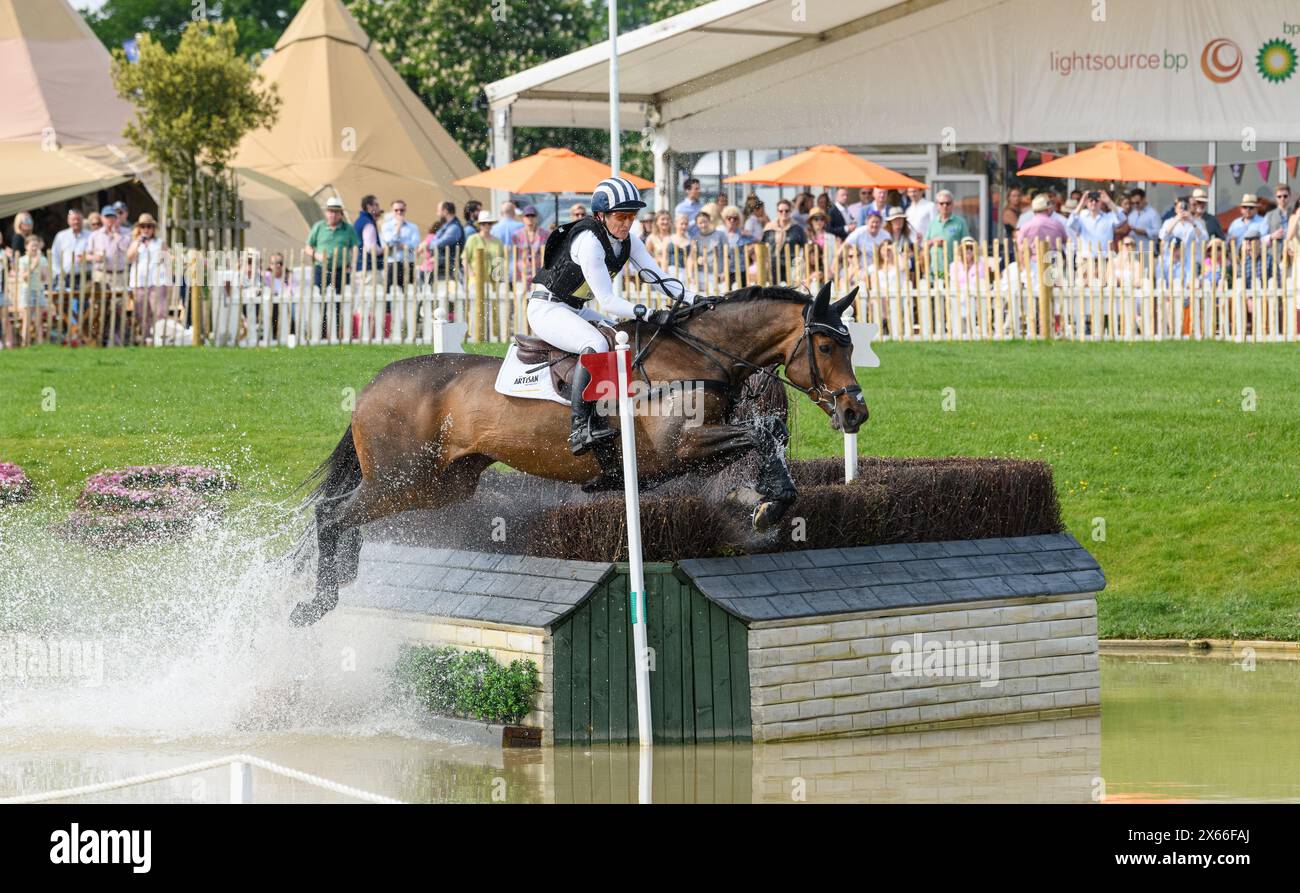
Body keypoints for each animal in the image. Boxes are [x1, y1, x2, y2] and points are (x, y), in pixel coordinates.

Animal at [289, 283, 868, 626]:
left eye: (850, 344)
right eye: (825, 346)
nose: (855, 413)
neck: (696, 356)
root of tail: (371, 385)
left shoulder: (696, 449)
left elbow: (763, 437)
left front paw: (765, 501)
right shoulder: (677, 448)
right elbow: (757, 436)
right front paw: (765, 506)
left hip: (438, 487)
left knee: (346, 514)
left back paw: (343, 576)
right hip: (402, 481)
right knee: (331, 513)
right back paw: (318, 601)